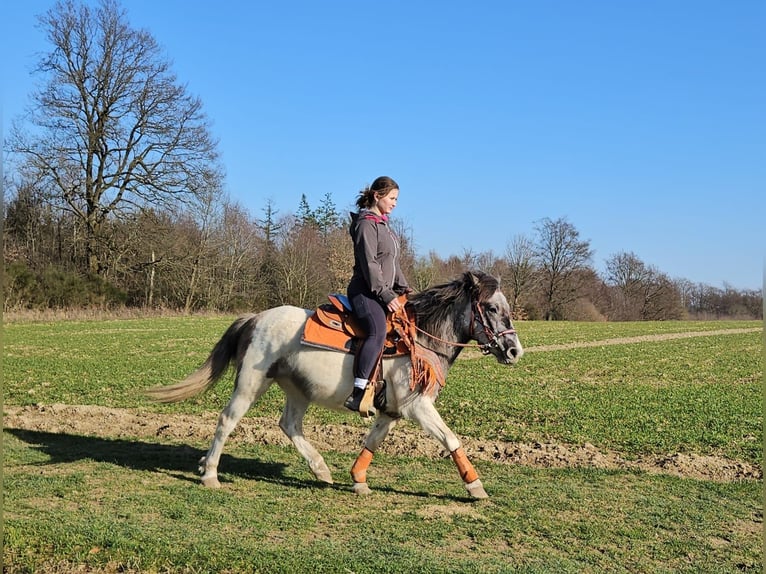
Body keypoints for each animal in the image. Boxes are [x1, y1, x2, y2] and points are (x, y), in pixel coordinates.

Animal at [147, 271, 523, 499]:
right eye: (492, 308)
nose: (514, 350)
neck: (419, 338)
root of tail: (255, 318)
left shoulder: (391, 410)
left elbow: (372, 441)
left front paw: (358, 479)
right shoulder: (417, 406)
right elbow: (450, 438)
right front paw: (475, 486)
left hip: (298, 389)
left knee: (289, 425)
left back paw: (321, 469)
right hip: (251, 382)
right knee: (227, 420)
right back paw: (210, 474)